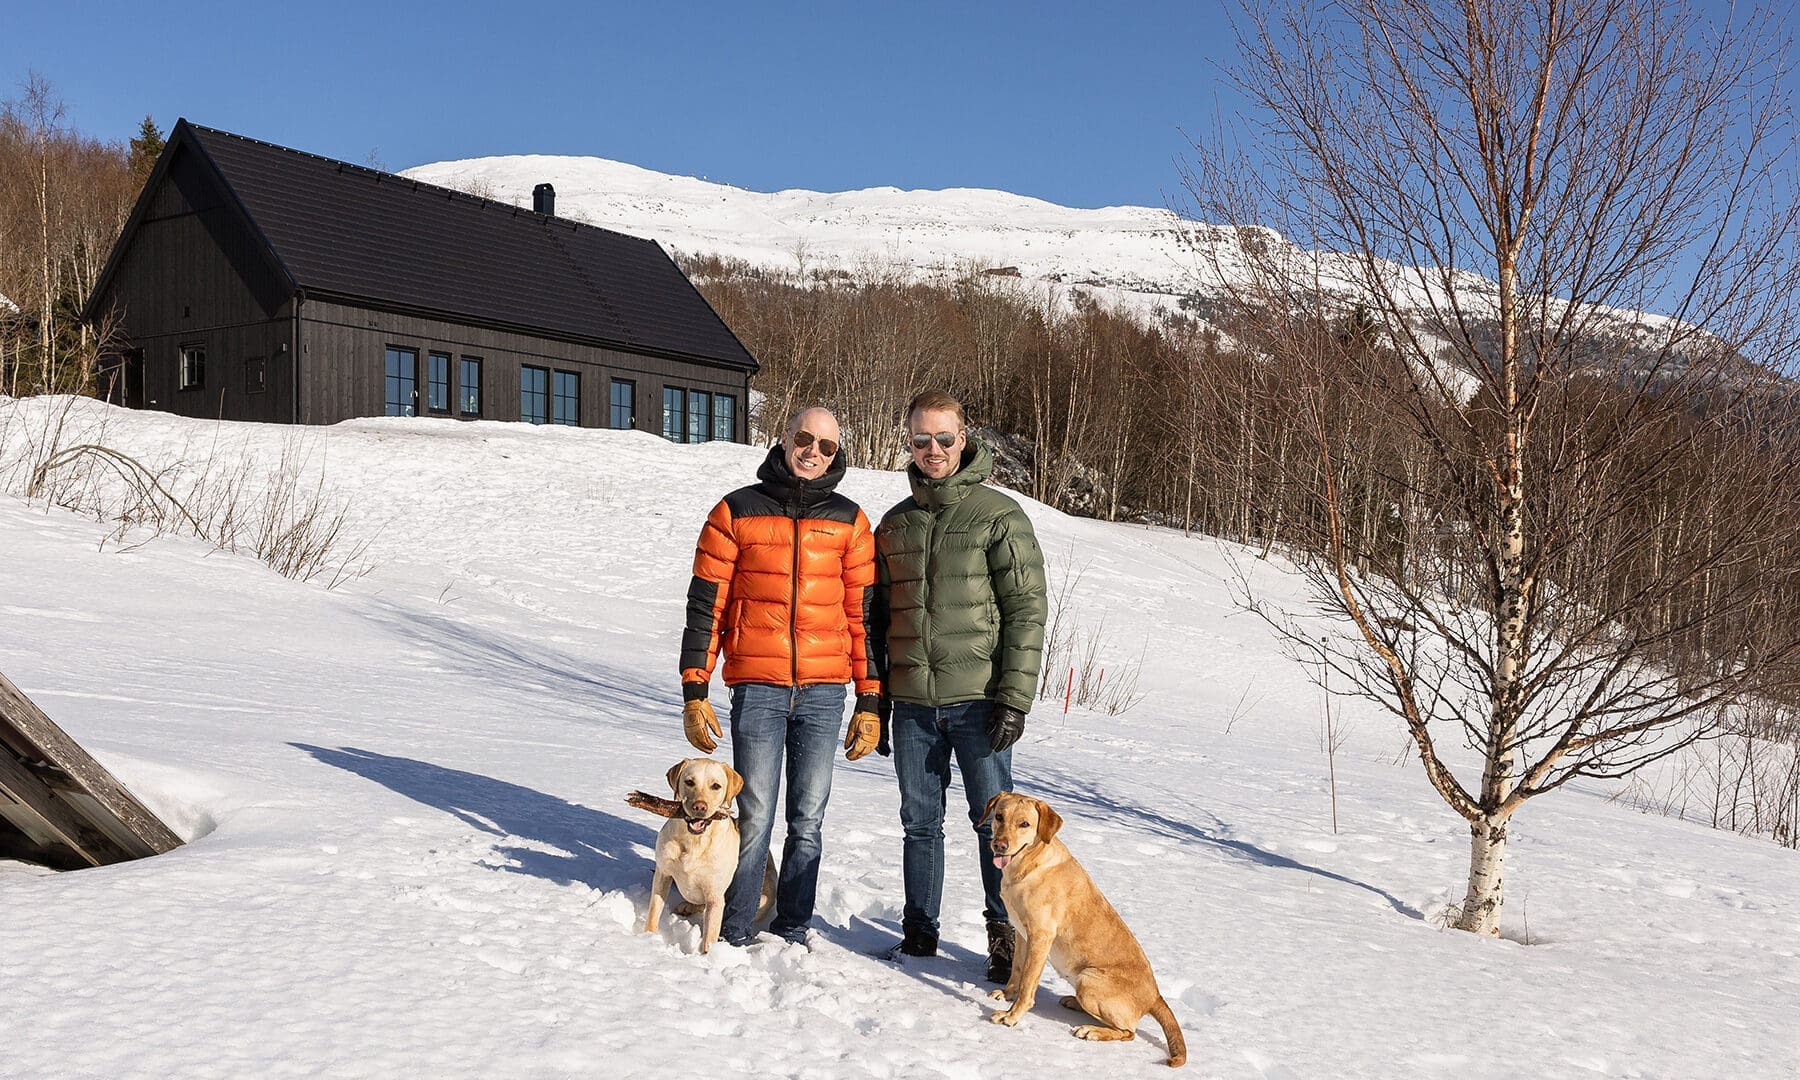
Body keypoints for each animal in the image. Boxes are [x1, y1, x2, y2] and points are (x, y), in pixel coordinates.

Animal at [641, 757, 775, 953]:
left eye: (716, 786)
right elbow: (654, 911)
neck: (694, 841)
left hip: (764, 896)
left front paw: (706, 956)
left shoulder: (715, 895)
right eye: (689, 782)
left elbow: (709, 936)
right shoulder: (663, 874)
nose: (699, 806)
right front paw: (647, 939)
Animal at [982, 792, 1187, 1068]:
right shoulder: (1021, 932)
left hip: (1088, 980)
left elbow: (1027, 983)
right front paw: (1006, 994)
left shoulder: (1041, 936)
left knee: (1129, 1032)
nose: (999, 846)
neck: (1029, 864)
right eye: (999, 816)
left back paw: (1091, 1030)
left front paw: (1011, 1017)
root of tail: (1156, 996)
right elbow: (1017, 970)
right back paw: (1073, 1002)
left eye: (1024, 824)